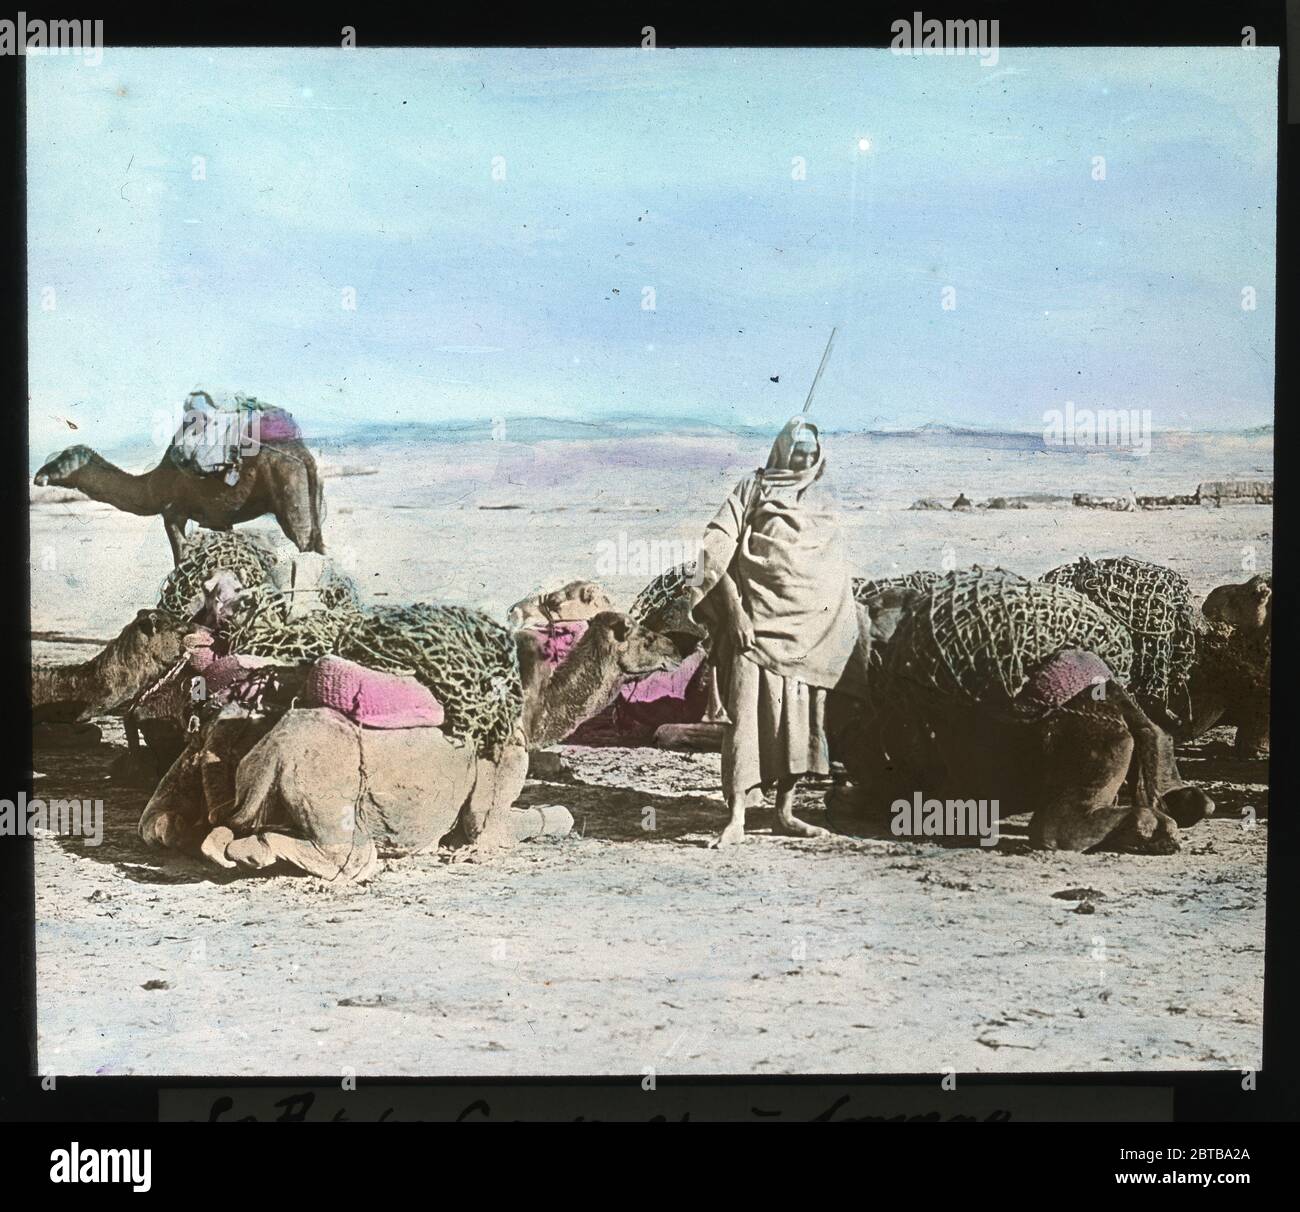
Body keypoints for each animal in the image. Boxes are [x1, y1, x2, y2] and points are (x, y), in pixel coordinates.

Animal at [34, 434, 323, 566]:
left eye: (61, 459)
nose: (38, 476)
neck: (152, 486)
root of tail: (305, 457)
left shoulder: (173, 513)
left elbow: (180, 556)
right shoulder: (219, 520)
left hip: (289, 488)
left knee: (303, 540)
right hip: (312, 494)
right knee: (318, 544)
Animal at [139, 611, 681, 873]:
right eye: (641, 633)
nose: (679, 646)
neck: (530, 706)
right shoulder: (495, 794)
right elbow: (540, 818)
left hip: (194, 760)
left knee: (170, 827)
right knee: (343, 855)